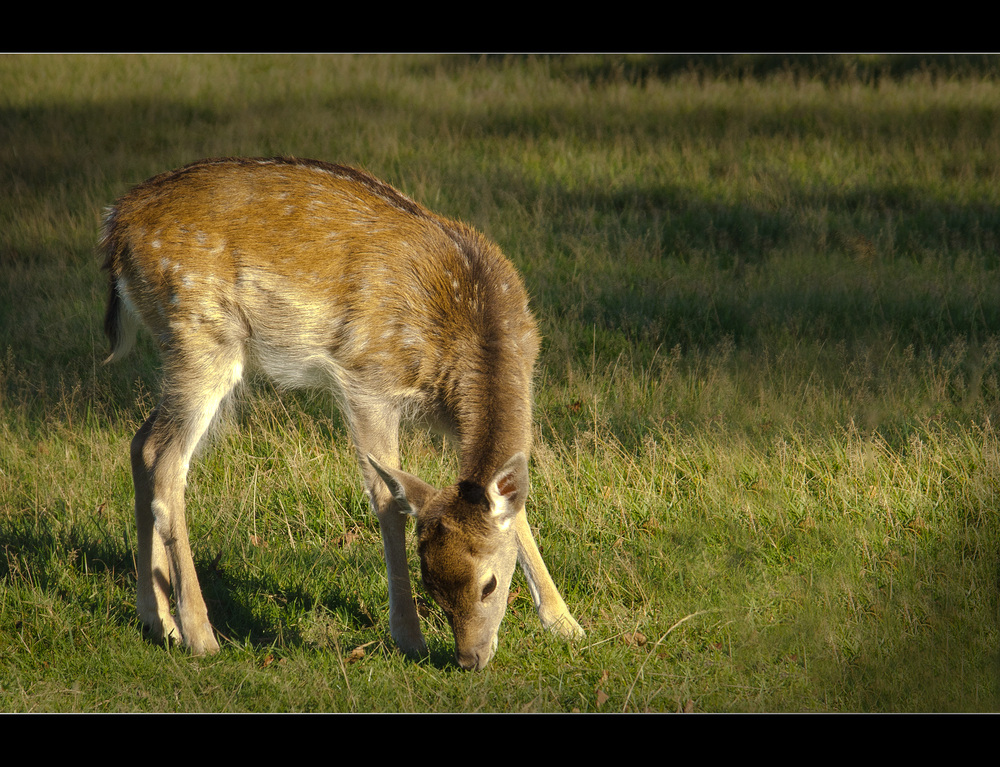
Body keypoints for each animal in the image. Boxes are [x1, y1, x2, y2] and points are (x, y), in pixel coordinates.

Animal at [99, 158, 584, 672]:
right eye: (433, 586)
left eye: (489, 584)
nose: (469, 659)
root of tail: (115, 226)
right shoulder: (368, 381)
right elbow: (387, 499)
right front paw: (408, 635)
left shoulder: (455, 424)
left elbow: (516, 504)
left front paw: (565, 623)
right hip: (199, 333)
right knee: (166, 460)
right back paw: (198, 634)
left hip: (183, 349)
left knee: (140, 442)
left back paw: (157, 621)